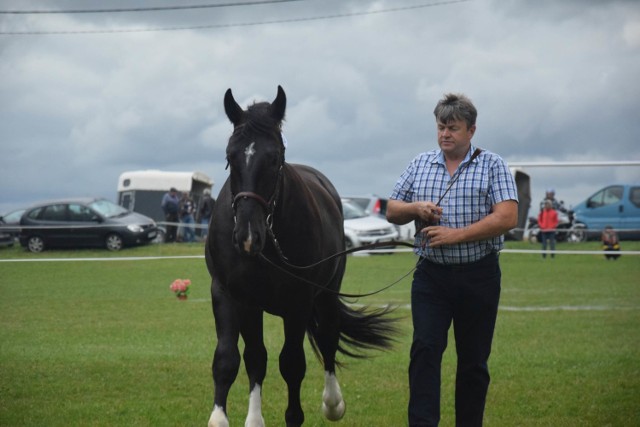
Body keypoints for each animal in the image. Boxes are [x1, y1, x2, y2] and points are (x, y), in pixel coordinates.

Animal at [205, 85, 396, 426]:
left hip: (327, 294)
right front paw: (228, 418)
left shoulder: (298, 302)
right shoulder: (231, 295)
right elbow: (234, 358)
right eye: (230, 156)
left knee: (329, 339)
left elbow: (292, 364)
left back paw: (333, 403)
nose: (247, 236)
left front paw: (294, 416)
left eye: (274, 157)